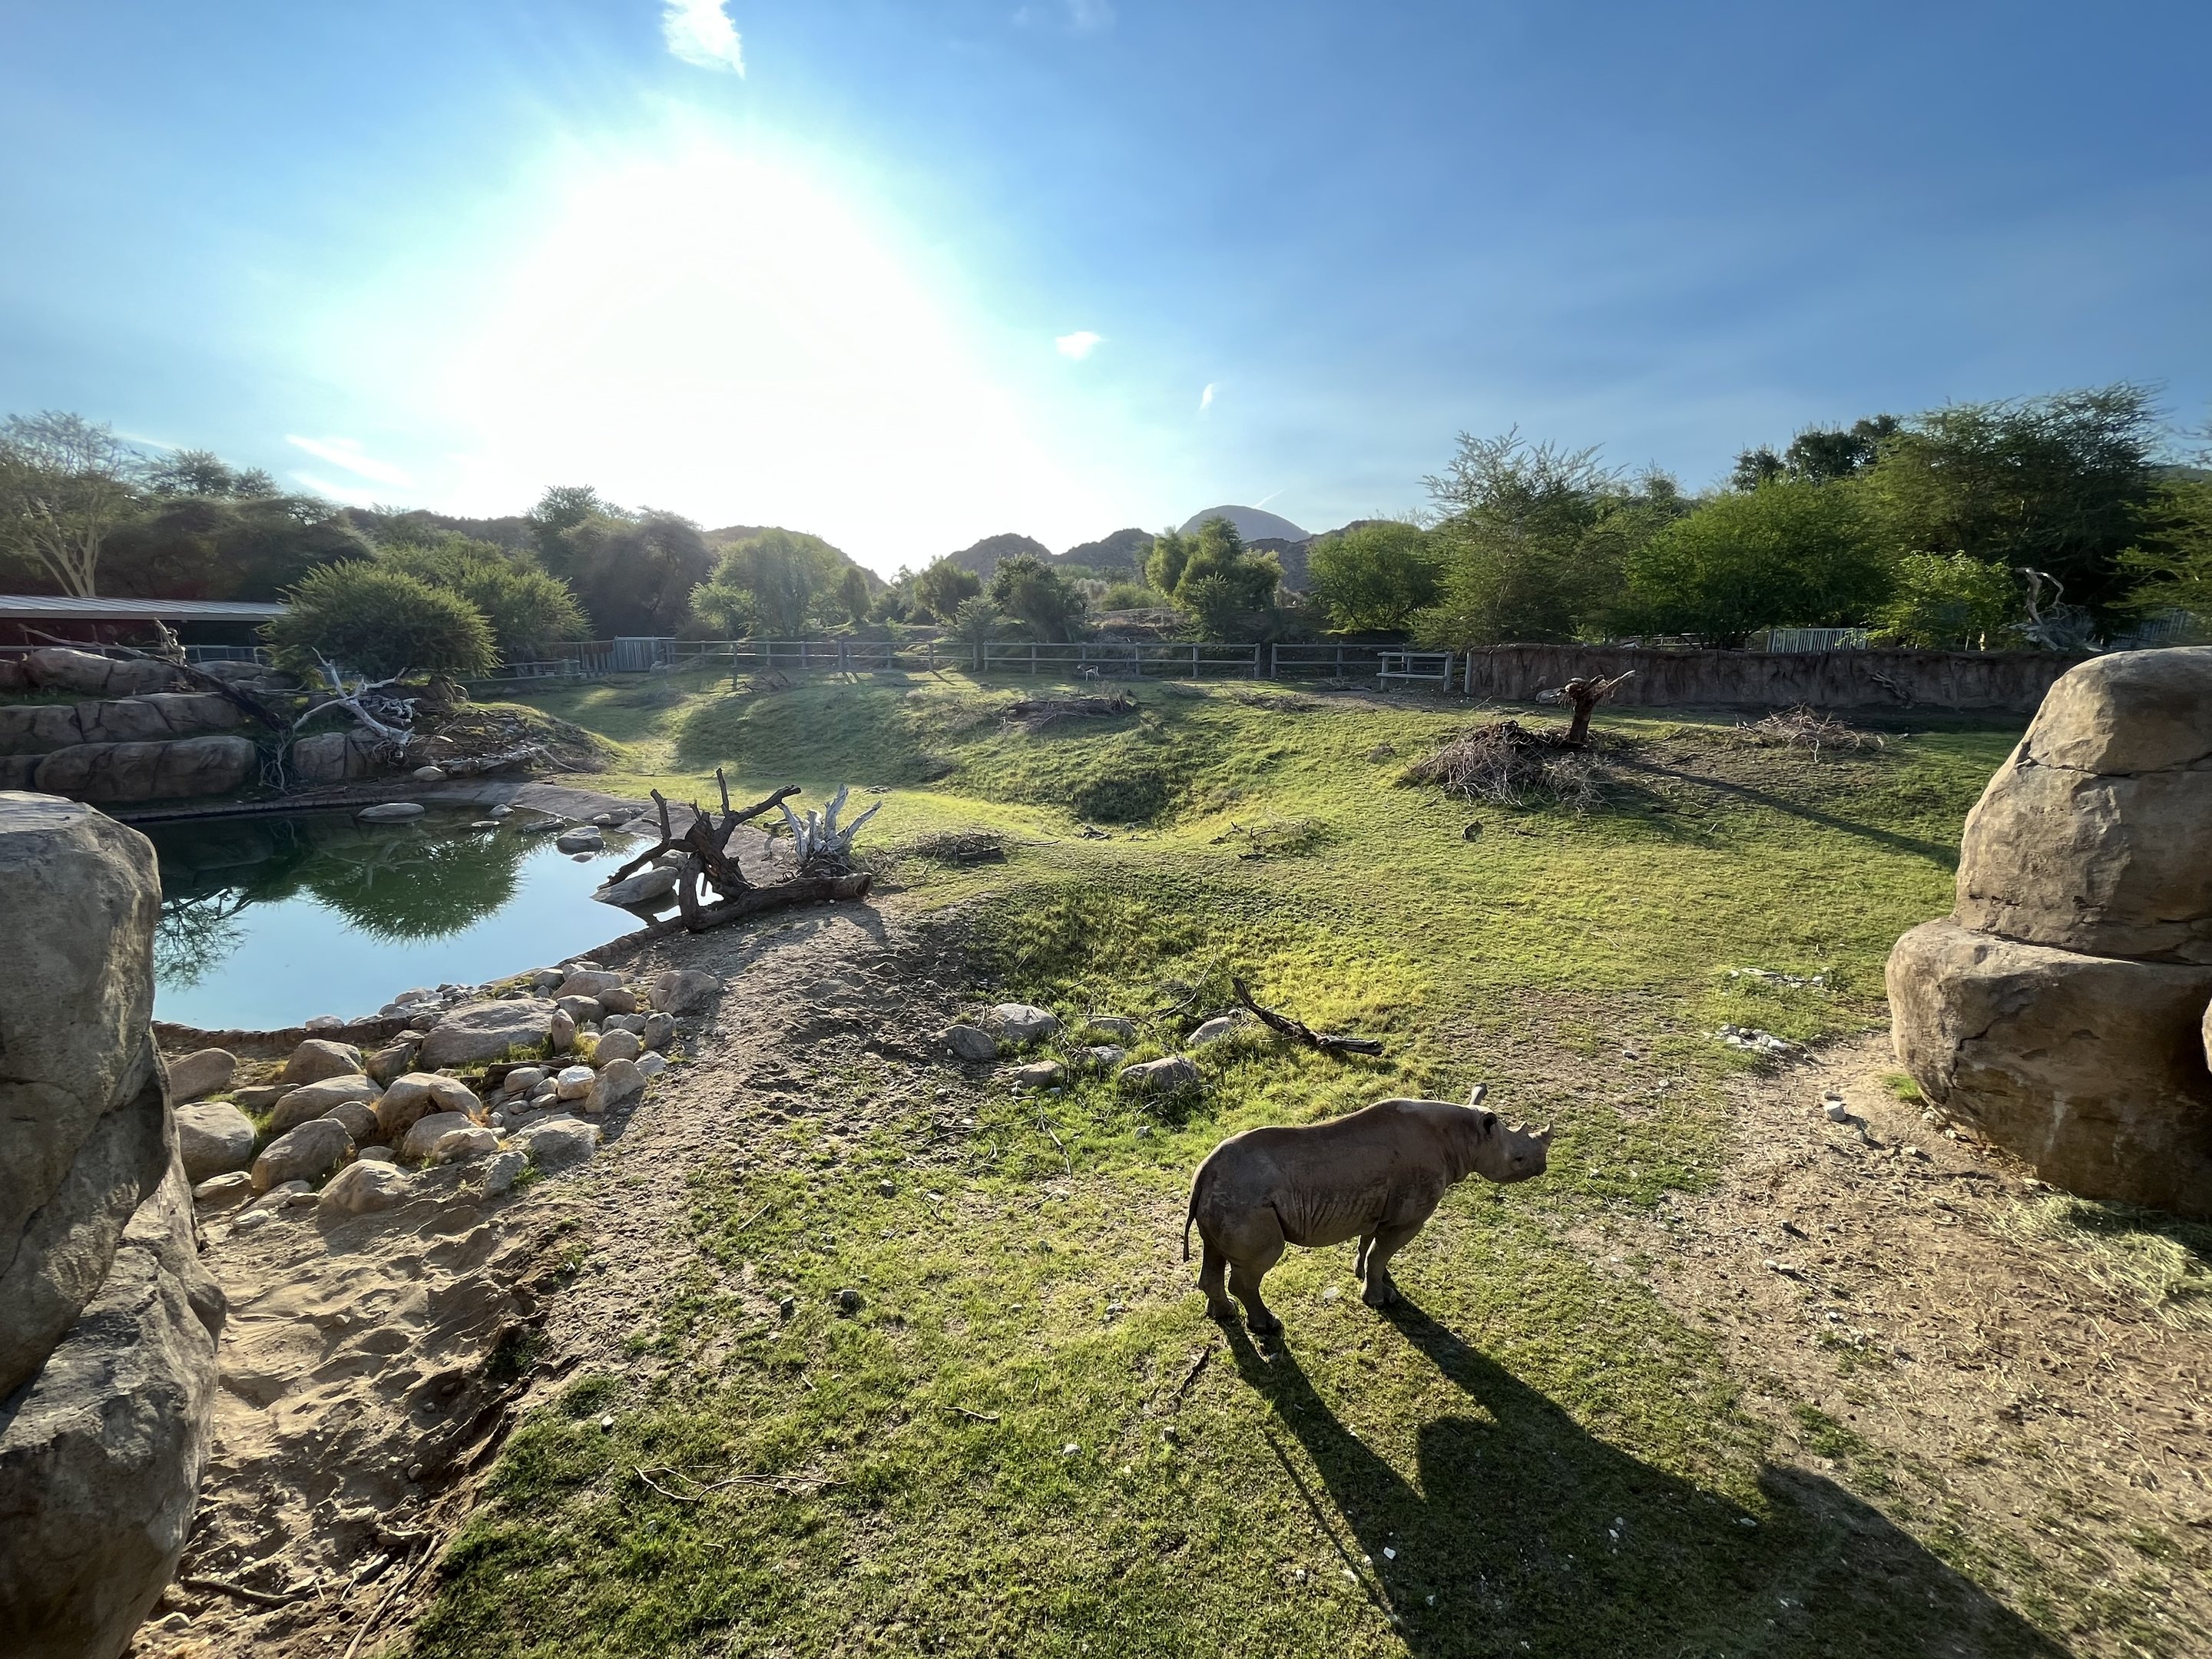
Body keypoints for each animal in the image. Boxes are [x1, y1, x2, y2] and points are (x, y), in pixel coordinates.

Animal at [1183, 1087, 1551, 1335]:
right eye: (1518, 1159)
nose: (1542, 1168)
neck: (1464, 1137)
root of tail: (1202, 1176)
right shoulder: (1408, 1217)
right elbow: (1380, 1252)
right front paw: (1379, 1299)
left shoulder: (1379, 1204)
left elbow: (1370, 1246)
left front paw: (1369, 1276)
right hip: (1245, 1203)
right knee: (1259, 1262)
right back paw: (1269, 1326)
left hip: (1225, 1199)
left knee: (1214, 1252)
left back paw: (1224, 1314)